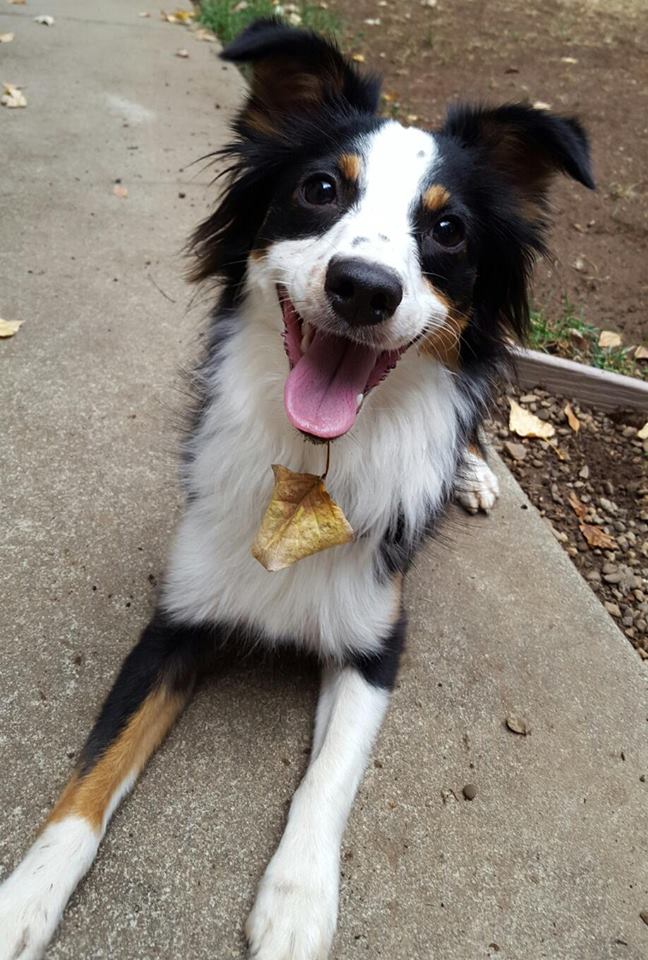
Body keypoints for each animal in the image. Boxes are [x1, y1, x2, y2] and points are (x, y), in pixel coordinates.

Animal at [0, 19, 593, 960]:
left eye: (448, 229)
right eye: (320, 189)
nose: (364, 288)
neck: (313, 470)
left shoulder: (376, 643)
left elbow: (328, 779)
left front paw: (297, 904)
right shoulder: (176, 619)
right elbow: (91, 775)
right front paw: (25, 897)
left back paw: (470, 473)